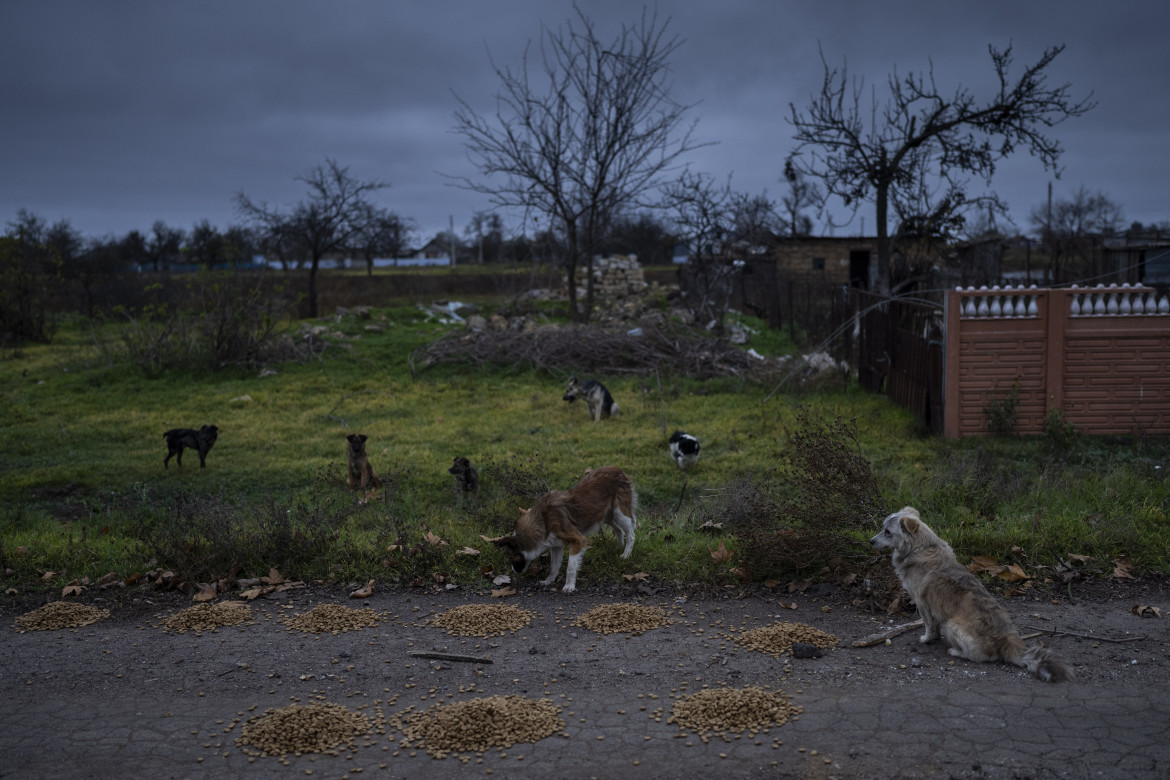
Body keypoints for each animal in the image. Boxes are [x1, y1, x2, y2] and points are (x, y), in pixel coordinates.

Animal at [870, 509, 1071, 678]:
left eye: (887, 532)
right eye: (883, 529)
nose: (870, 541)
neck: (919, 546)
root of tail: (1006, 639)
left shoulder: (922, 602)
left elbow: (929, 624)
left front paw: (927, 638)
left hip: (951, 625)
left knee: (978, 656)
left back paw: (955, 651)